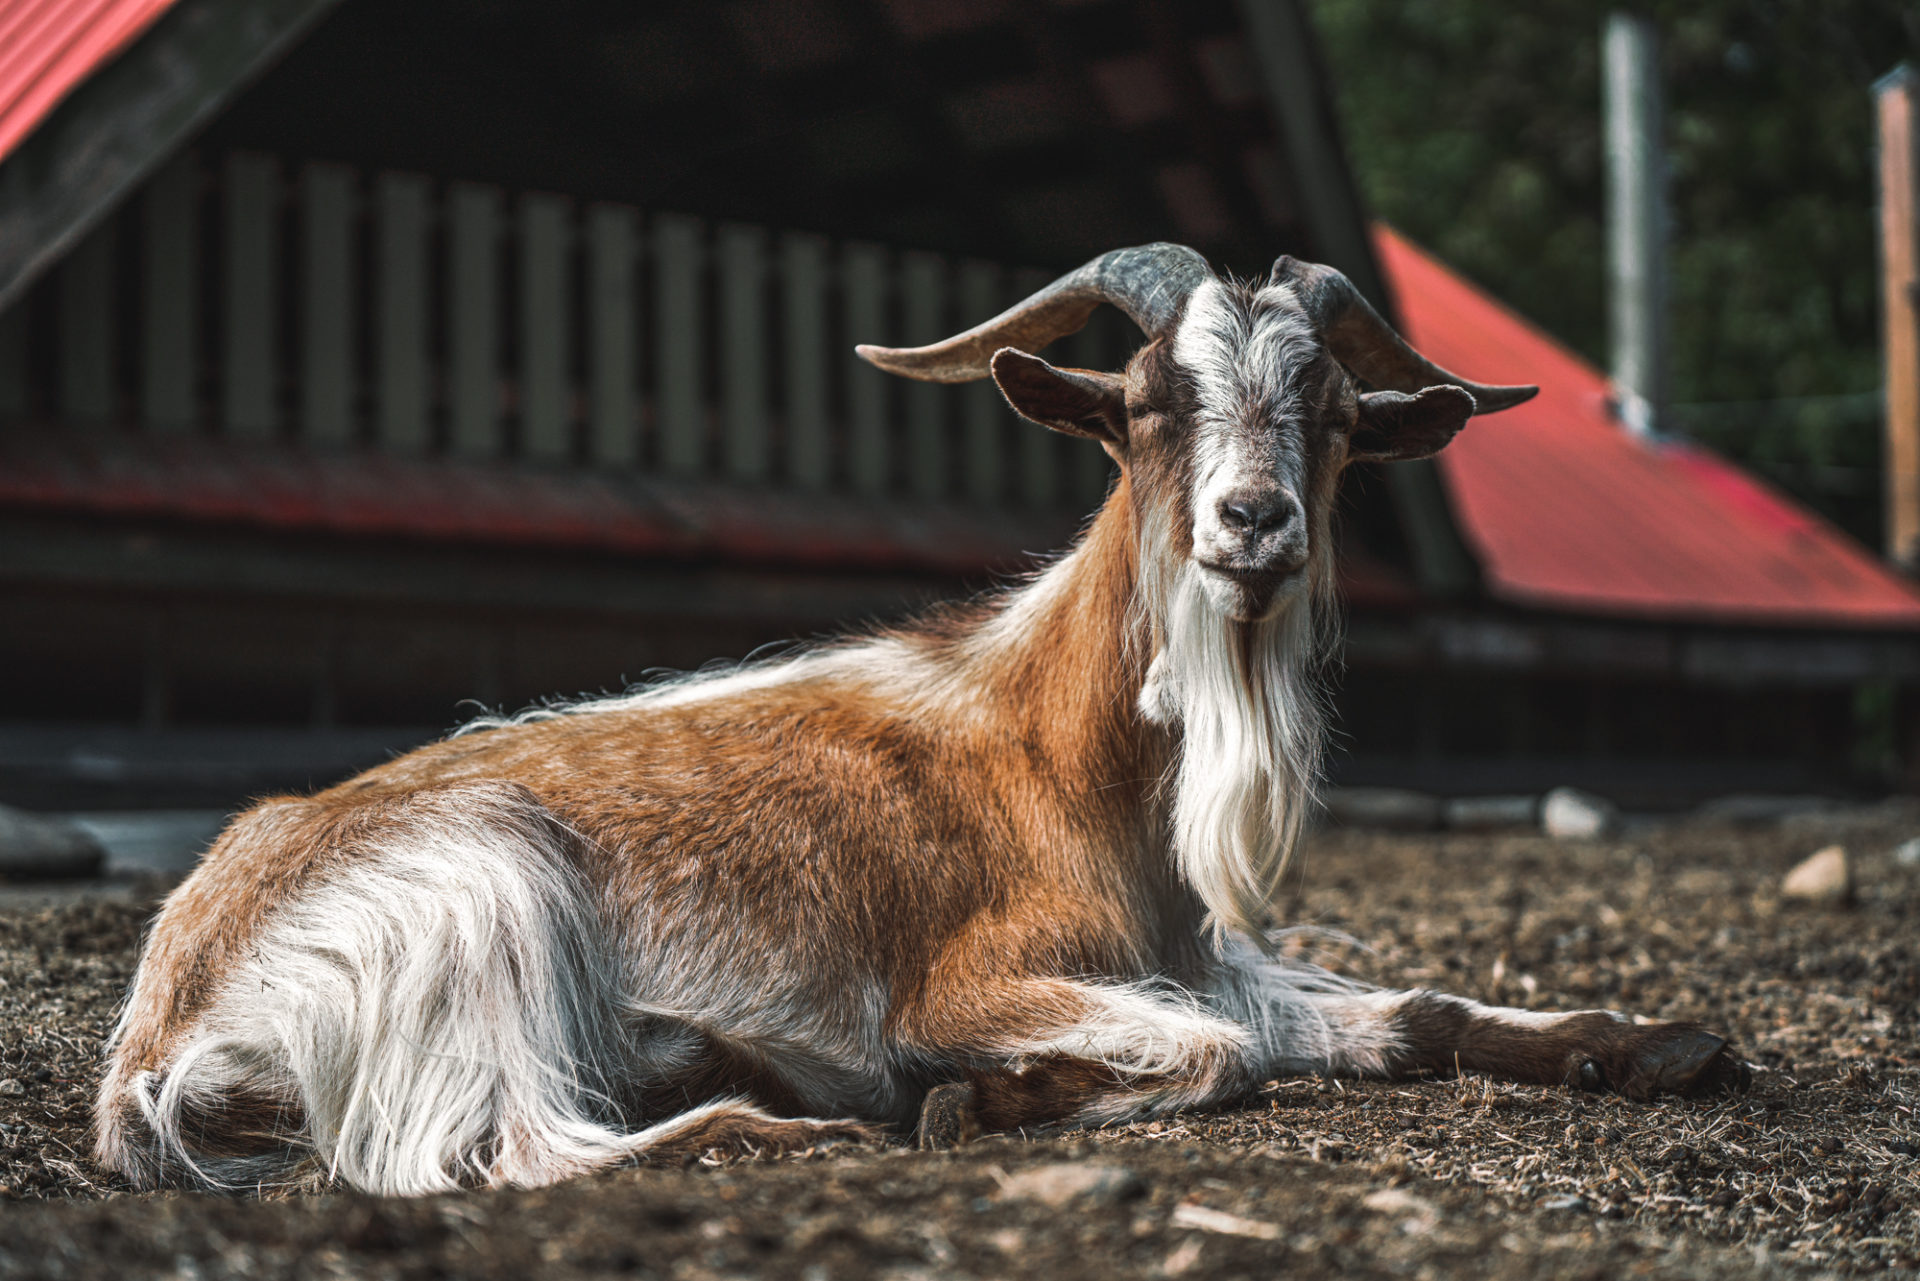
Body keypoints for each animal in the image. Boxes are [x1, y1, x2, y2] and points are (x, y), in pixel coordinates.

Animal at [97, 245, 1751, 1198]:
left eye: (1338, 415)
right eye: (1145, 403)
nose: (1255, 523)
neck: (1065, 755)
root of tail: (159, 1021)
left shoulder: (1200, 953)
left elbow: (1413, 1012)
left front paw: (1666, 1044)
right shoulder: (977, 978)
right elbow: (1216, 1053)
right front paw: (982, 1099)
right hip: (485, 889)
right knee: (505, 1152)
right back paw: (790, 1111)